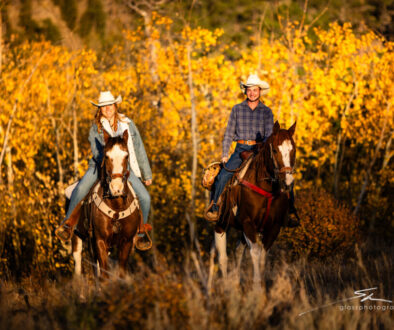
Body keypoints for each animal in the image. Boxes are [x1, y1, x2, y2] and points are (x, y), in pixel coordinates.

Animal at [71, 130, 142, 278]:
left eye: (126, 156)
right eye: (107, 156)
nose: (116, 188)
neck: (117, 207)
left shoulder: (126, 242)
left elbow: (120, 272)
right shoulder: (100, 240)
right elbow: (104, 274)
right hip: (77, 237)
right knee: (78, 263)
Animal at [215, 121, 296, 284]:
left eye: (293, 150)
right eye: (275, 150)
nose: (288, 182)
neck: (266, 189)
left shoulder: (274, 227)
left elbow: (263, 255)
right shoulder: (248, 223)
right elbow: (256, 253)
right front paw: (257, 287)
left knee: (238, 250)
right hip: (220, 224)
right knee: (223, 258)